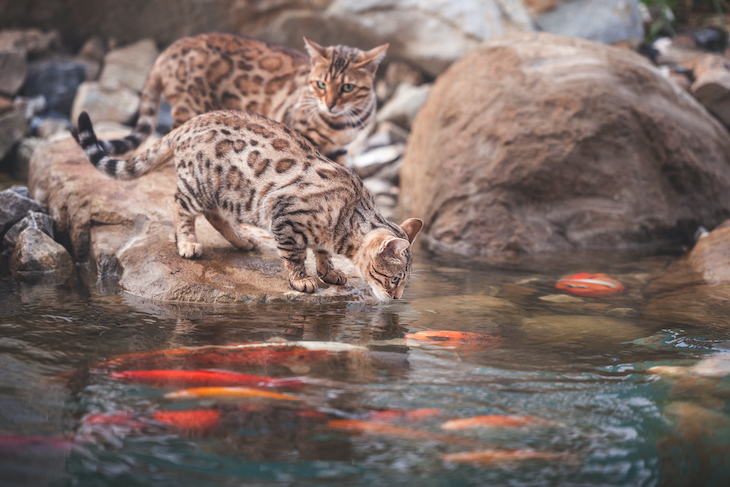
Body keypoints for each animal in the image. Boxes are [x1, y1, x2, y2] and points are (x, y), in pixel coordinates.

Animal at [74, 109, 420, 302]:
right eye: (394, 279)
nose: (396, 298)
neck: (347, 216)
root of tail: (189, 123)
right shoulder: (284, 218)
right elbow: (295, 255)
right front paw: (302, 279)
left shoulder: (318, 233)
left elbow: (321, 252)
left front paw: (329, 272)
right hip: (198, 185)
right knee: (180, 206)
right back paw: (187, 243)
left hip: (226, 193)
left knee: (214, 214)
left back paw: (242, 239)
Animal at [101, 34, 392, 164]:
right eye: (321, 84)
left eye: (347, 88)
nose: (329, 104)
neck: (341, 124)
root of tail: (170, 48)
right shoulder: (299, 137)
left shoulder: (341, 148)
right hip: (189, 106)